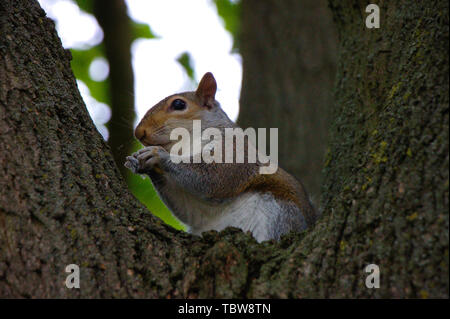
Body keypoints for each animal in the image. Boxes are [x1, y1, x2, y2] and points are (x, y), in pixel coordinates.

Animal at [125, 72, 318, 242]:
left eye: (179, 104)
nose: (139, 132)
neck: (186, 145)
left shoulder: (235, 150)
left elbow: (214, 178)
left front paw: (158, 155)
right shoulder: (198, 212)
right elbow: (188, 209)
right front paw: (138, 162)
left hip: (280, 215)